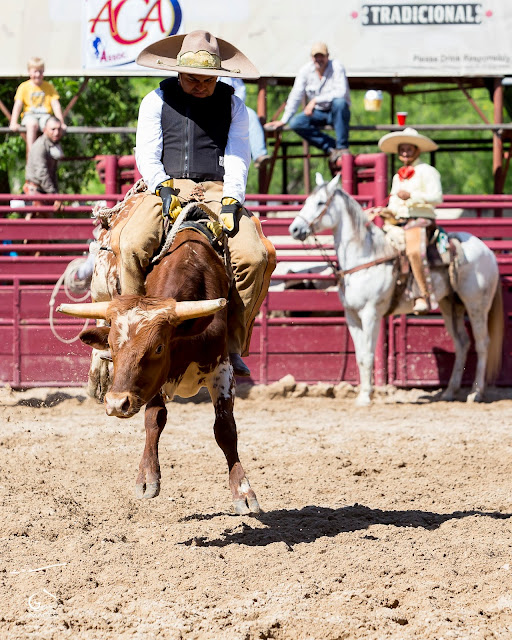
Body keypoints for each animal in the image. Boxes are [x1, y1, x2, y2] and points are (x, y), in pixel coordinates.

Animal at [290, 175, 502, 404]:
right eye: (306, 201)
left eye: (320, 202)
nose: (294, 229)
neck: (366, 256)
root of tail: (487, 251)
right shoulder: (351, 316)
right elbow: (360, 356)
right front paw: (364, 394)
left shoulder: (370, 314)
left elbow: (368, 355)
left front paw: (365, 397)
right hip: (450, 305)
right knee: (462, 343)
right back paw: (449, 391)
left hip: (476, 305)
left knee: (482, 343)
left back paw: (476, 393)